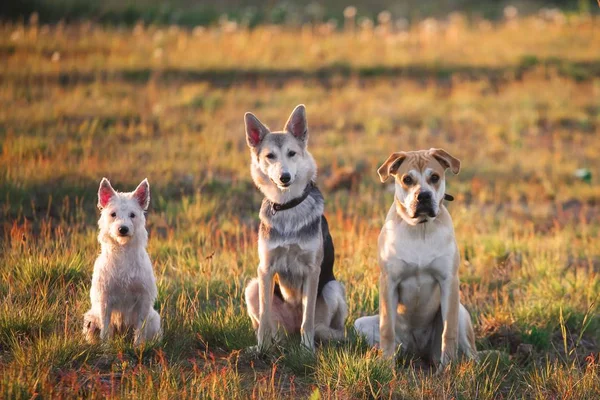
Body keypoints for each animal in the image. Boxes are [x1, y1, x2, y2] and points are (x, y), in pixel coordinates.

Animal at [83, 177, 162, 346]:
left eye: (132, 215)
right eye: (113, 214)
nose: (123, 229)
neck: (123, 251)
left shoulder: (143, 299)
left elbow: (140, 328)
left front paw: (138, 347)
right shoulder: (105, 300)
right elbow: (106, 327)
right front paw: (105, 347)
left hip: (154, 319)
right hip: (91, 318)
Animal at [243, 105, 346, 350]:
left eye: (292, 153)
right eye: (270, 156)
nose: (285, 177)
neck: (287, 206)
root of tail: (290, 329)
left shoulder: (312, 270)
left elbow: (307, 320)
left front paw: (307, 350)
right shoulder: (265, 269)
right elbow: (265, 320)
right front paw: (261, 349)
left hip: (333, 288)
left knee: (326, 327)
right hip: (252, 287)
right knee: (272, 327)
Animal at [354, 148, 476, 368]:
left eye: (434, 177)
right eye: (407, 179)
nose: (424, 196)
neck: (420, 229)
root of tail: (418, 351)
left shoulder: (449, 281)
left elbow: (449, 331)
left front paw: (448, 368)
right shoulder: (389, 281)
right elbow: (387, 328)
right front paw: (386, 366)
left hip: (461, 312)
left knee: (471, 351)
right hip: (362, 324)